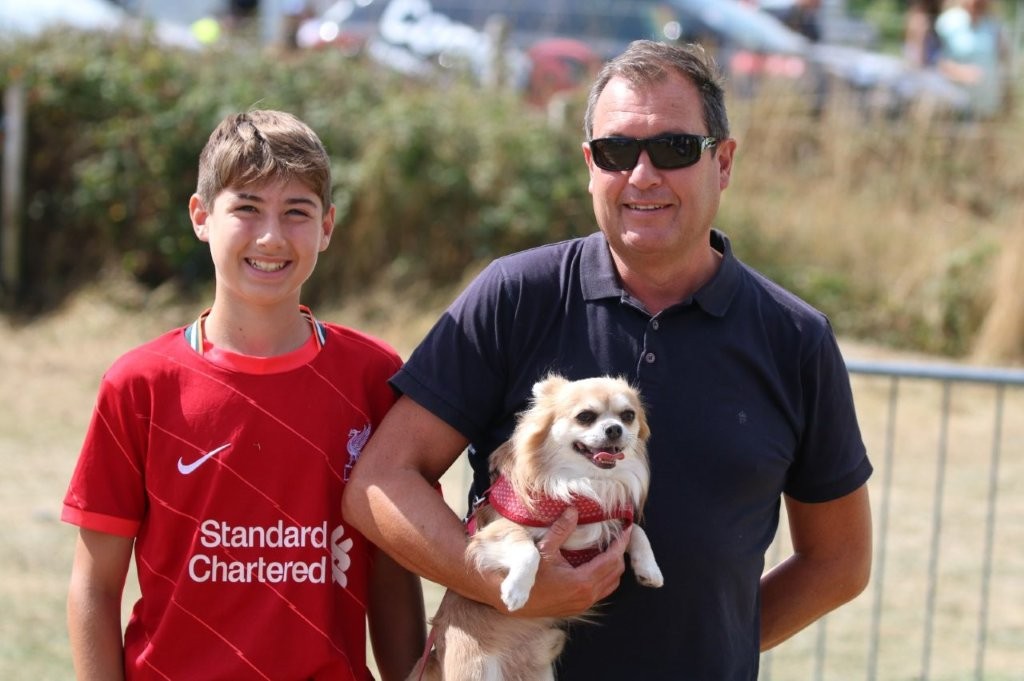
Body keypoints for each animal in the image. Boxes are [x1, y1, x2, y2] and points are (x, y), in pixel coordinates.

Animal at [411, 374, 663, 681]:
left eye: (628, 416)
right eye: (585, 417)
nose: (614, 428)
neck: (585, 484)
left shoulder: (608, 522)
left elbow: (636, 531)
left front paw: (650, 569)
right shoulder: (494, 532)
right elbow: (527, 548)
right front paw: (516, 590)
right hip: (478, 670)